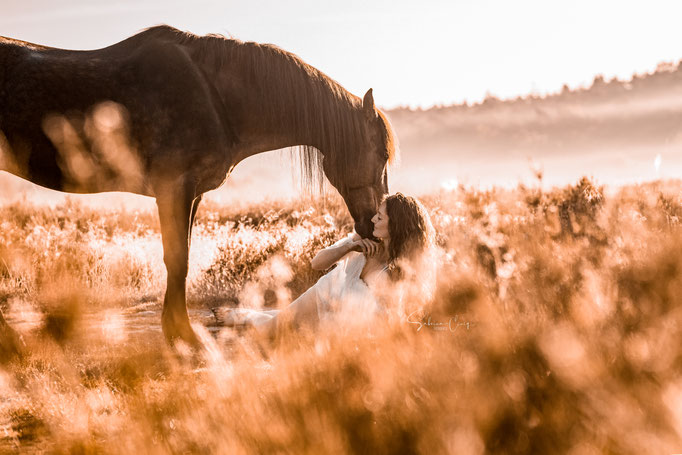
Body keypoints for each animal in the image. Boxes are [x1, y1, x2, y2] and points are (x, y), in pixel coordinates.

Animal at [0, 26, 398, 350]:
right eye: (381, 153)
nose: (373, 223)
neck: (217, 98)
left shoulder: (192, 194)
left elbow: (184, 259)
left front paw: (177, 330)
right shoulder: (173, 189)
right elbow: (177, 259)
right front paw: (183, 335)